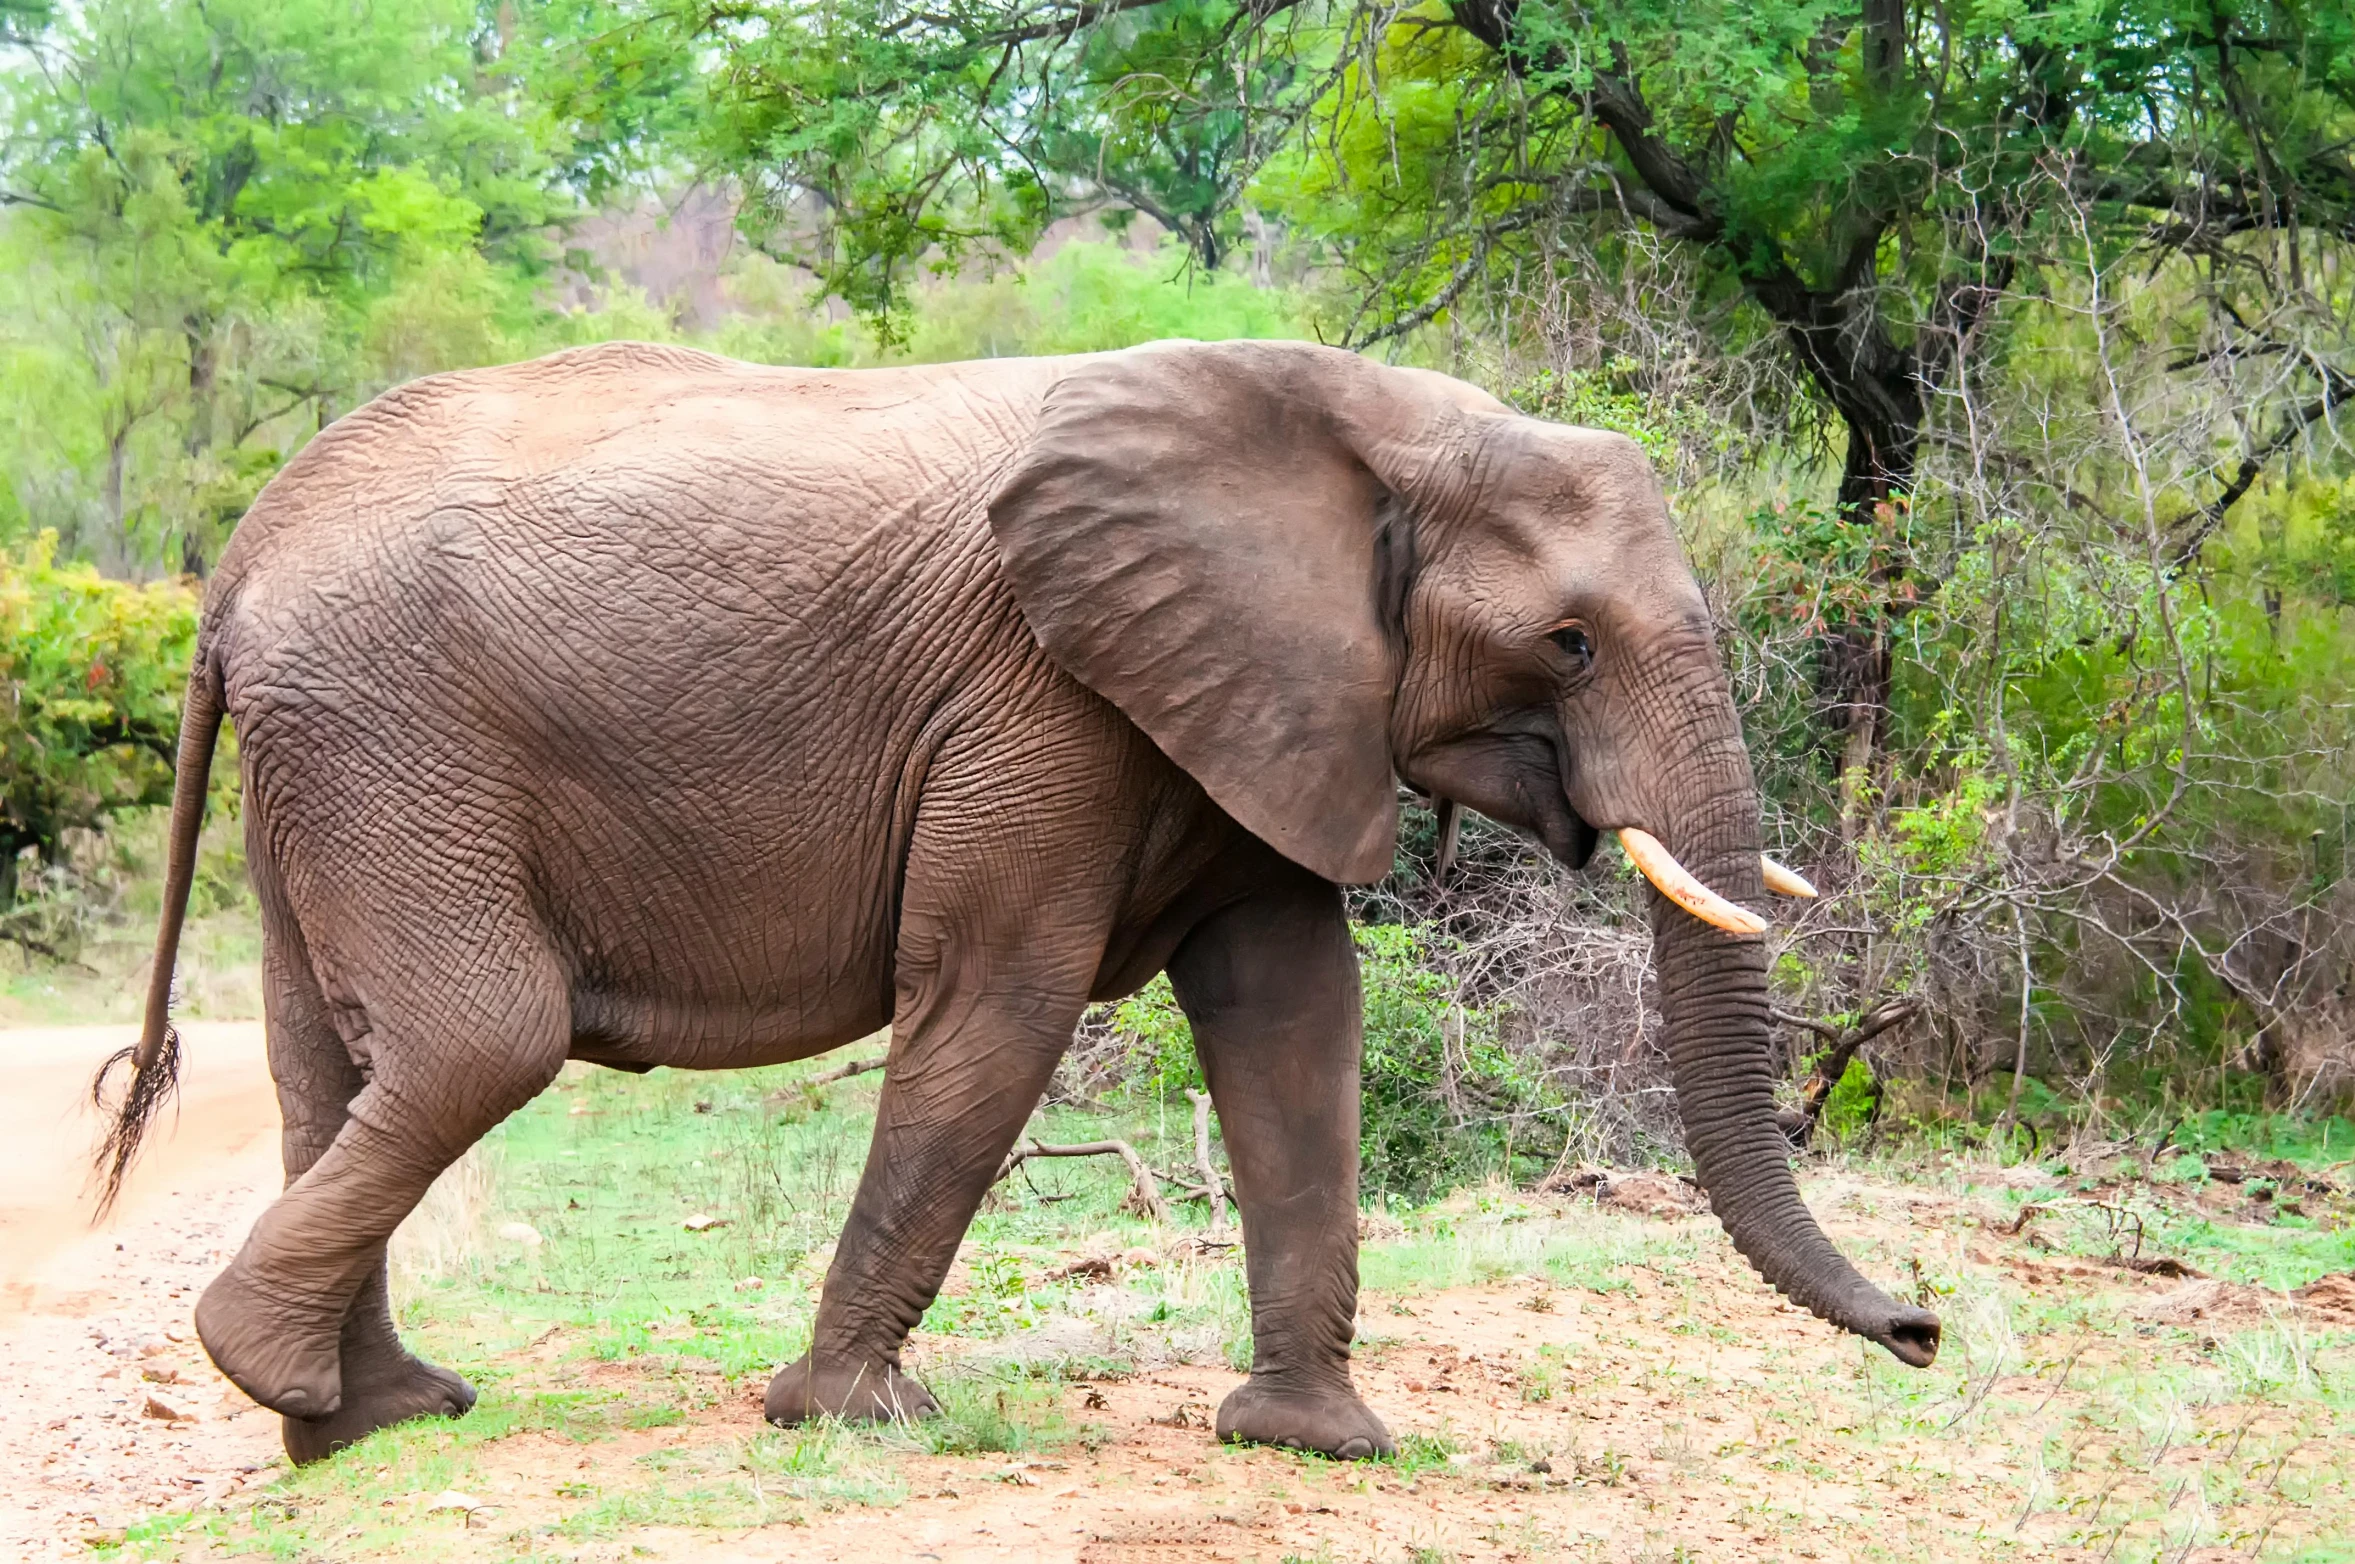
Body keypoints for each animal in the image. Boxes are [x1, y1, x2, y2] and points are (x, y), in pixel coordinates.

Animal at [87, 339, 1931, 1469]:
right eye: (1566, 643)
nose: (1920, 1329)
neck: (1365, 415)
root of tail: (233, 571)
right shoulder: (1041, 699)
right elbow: (1000, 1000)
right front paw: (844, 1417)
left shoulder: (1247, 695)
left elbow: (1290, 1019)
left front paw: (1314, 1439)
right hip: (393, 743)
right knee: (481, 1041)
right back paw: (277, 1371)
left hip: (332, 764)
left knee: (330, 1063)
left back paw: (367, 1420)